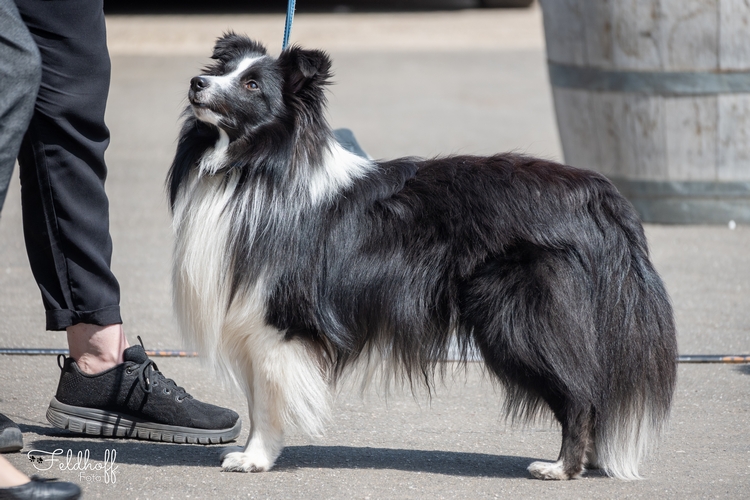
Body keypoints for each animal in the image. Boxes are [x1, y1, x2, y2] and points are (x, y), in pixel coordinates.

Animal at [170, 33, 680, 478]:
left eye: (252, 85)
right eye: (221, 68)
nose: (196, 82)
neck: (253, 167)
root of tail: (598, 194)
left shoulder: (278, 320)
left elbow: (267, 399)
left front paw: (254, 459)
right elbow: (258, 398)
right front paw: (253, 453)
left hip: (518, 318)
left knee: (578, 392)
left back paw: (560, 467)